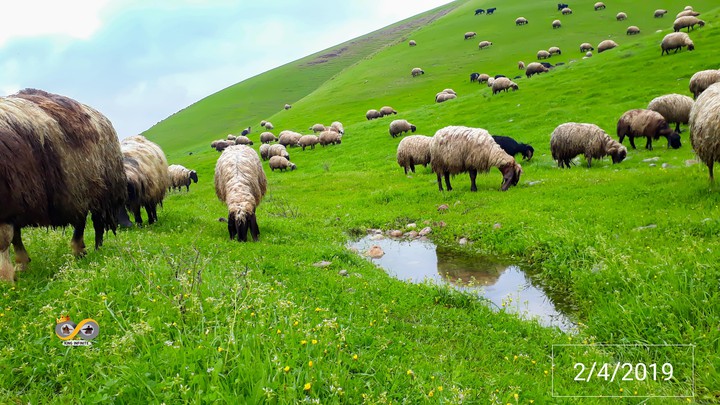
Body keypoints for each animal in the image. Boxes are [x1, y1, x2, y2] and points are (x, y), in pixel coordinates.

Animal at [0, 88, 127, 282]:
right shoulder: (16, 201)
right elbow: (15, 236)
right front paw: (21, 266)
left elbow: (4, 240)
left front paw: (6, 278)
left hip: (93, 189)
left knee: (90, 221)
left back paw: (87, 250)